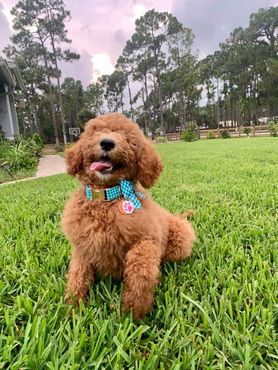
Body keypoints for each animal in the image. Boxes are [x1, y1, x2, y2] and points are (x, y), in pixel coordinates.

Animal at [61, 112, 194, 318]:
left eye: (128, 138)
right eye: (96, 131)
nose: (107, 143)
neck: (107, 197)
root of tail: (179, 218)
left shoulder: (147, 240)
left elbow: (140, 271)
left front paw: (133, 311)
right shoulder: (82, 247)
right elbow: (77, 275)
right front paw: (74, 307)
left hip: (180, 241)